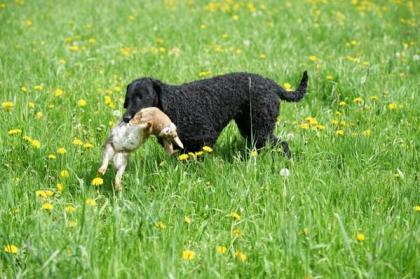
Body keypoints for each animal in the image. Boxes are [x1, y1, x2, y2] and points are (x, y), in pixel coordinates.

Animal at [121, 71, 308, 159]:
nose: (126, 118)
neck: (173, 105)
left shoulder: (203, 139)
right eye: (127, 99)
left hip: (262, 129)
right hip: (250, 128)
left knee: (283, 144)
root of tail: (273, 85)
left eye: (141, 97)